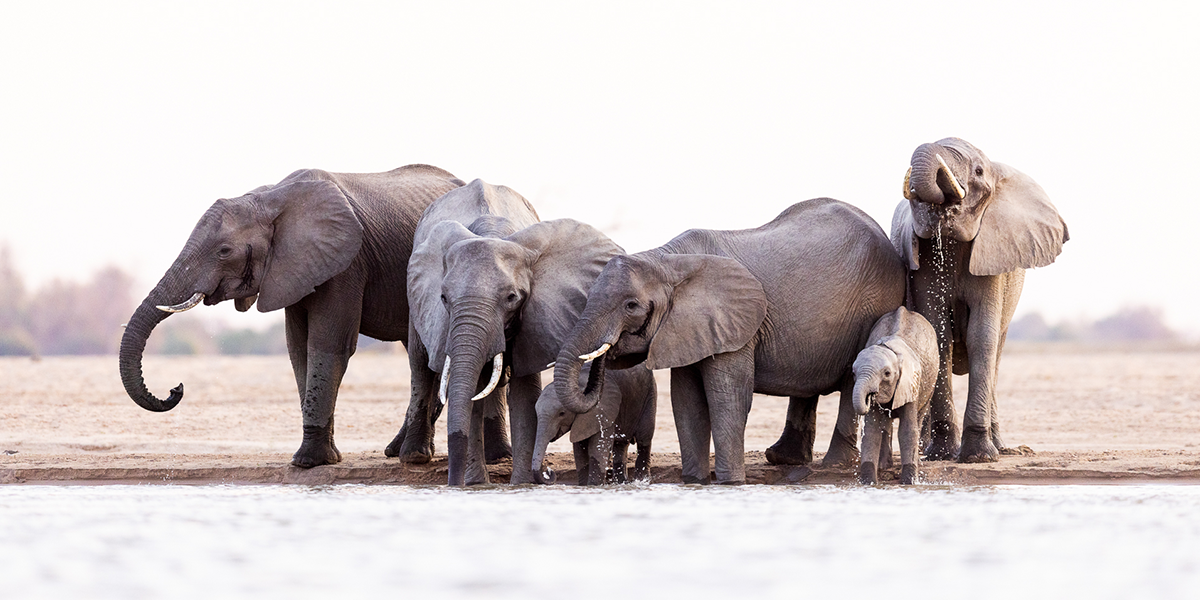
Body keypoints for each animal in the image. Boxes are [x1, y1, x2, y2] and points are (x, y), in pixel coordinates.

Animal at [118, 165, 464, 468]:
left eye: (224, 251)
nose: (176, 389)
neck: (269, 198)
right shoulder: (293, 269)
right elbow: (299, 350)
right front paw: (322, 459)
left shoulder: (347, 263)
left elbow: (329, 345)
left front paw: (307, 462)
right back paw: (396, 450)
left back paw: (408, 453)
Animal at [388, 179, 624, 486]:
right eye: (444, 298)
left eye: (512, 298)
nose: (453, 483)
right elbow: (472, 389)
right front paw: (477, 484)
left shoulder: (536, 321)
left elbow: (524, 394)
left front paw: (520, 484)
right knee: (419, 363)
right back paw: (415, 456)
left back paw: (500, 456)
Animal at [552, 198, 906, 484]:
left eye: (631, 306)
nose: (603, 355)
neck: (666, 260)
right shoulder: (688, 329)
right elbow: (686, 401)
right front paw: (694, 482)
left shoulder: (735, 327)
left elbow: (727, 399)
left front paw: (731, 483)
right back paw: (785, 459)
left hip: (873, 306)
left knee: (850, 381)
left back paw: (834, 465)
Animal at [852, 307, 938, 485]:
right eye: (853, 373)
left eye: (887, 374)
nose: (869, 395)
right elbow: (871, 431)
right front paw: (869, 483)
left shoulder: (912, 383)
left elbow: (907, 431)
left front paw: (909, 482)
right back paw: (884, 466)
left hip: (930, 383)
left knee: (919, 417)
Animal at [894, 137, 1069, 462]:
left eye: (977, 171)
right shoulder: (922, 263)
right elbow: (938, 336)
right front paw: (943, 455)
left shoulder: (994, 259)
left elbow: (982, 336)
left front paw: (979, 457)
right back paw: (922, 450)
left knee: (996, 354)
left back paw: (1002, 448)